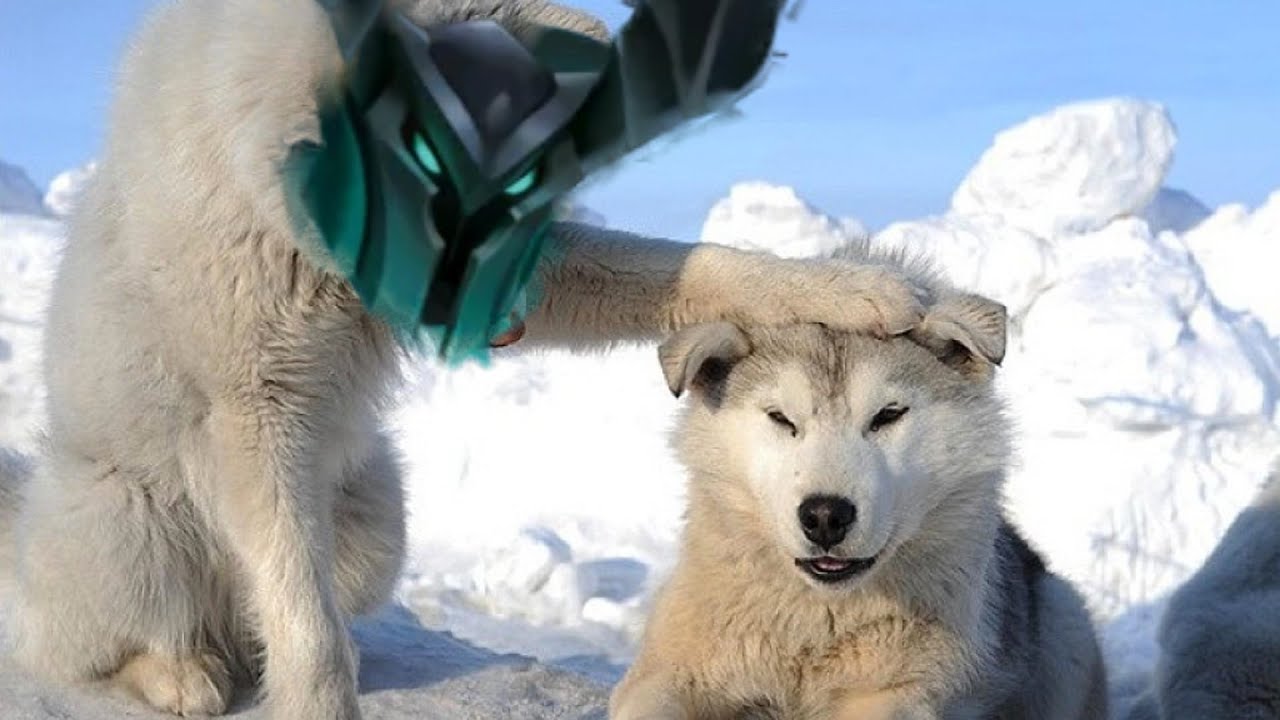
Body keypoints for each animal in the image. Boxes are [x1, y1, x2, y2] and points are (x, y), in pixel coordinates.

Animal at [0, 1, 984, 719]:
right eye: (433, 150)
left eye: (526, 169)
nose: (496, 303)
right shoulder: (252, 415)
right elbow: (304, 631)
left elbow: (702, 266)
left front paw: (852, 288)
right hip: (135, 523)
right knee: (96, 644)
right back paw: (179, 674)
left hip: (373, 524)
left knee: (278, 617)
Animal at [610, 273, 1107, 719]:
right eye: (781, 418)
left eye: (888, 415)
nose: (825, 516)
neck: (817, 623)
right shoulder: (665, 676)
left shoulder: (899, 694)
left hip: (1064, 622)